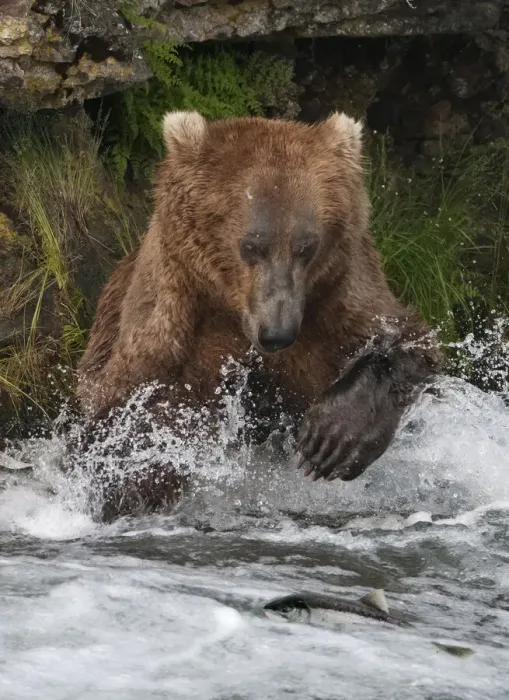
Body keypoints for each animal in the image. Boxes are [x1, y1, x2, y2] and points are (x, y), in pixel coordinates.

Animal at [76, 110, 440, 520]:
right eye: (251, 246)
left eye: (306, 246)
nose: (276, 333)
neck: (233, 309)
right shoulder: (173, 323)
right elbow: (131, 418)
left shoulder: (336, 300)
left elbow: (404, 341)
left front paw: (331, 439)